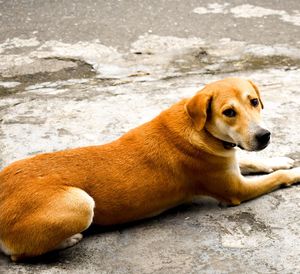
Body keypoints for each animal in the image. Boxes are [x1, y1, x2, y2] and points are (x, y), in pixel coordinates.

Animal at [0, 77, 300, 262]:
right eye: (229, 112)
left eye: (254, 101)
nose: (264, 136)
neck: (200, 128)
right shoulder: (235, 189)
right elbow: (276, 177)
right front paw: (294, 173)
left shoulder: (230, 163)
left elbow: (255, 162)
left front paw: (279, 159)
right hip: (81, 203)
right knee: (19, 255)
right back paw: (69, 239)